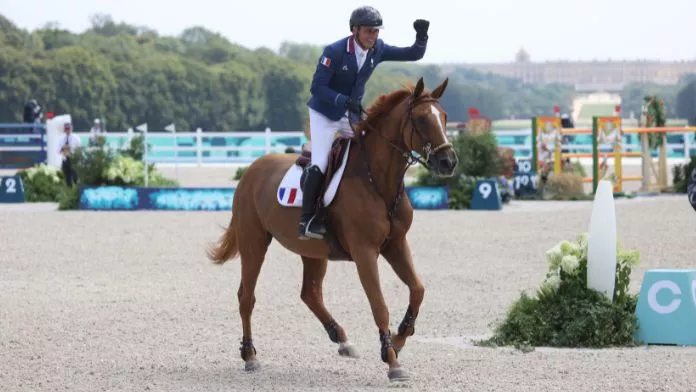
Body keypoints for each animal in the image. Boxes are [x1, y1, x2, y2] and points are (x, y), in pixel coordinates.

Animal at [205, 76, 456, 382]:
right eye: (421, 119)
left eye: (444, 117)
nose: (449, 161)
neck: (376, 179)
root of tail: (250, 170)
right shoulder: (365, 252)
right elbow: (379, 304)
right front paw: (392, 361)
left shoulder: (395, 244)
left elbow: (418, 289)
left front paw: (398, 340)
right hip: (254, 242)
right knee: (246, 297)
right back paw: (250, 356)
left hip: (313, 251)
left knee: (310, 293)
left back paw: (343, 340)